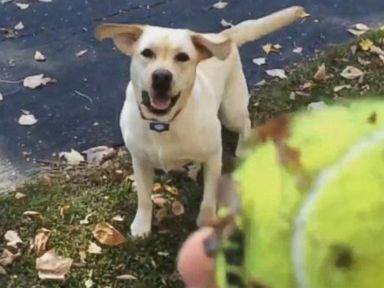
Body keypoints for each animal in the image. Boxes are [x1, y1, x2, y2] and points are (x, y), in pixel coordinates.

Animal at [95, 6, 304, 236]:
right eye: (147, 53)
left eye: (183, 57)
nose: (161, 77)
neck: (163, 123)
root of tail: (221, 36)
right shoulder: (139, 160)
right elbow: (143, 197)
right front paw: (142, 224)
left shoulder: (213, 156)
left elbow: (209, 196)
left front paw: (207, 222)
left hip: (230, 112)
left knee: (245, 122)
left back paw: (242, 148)